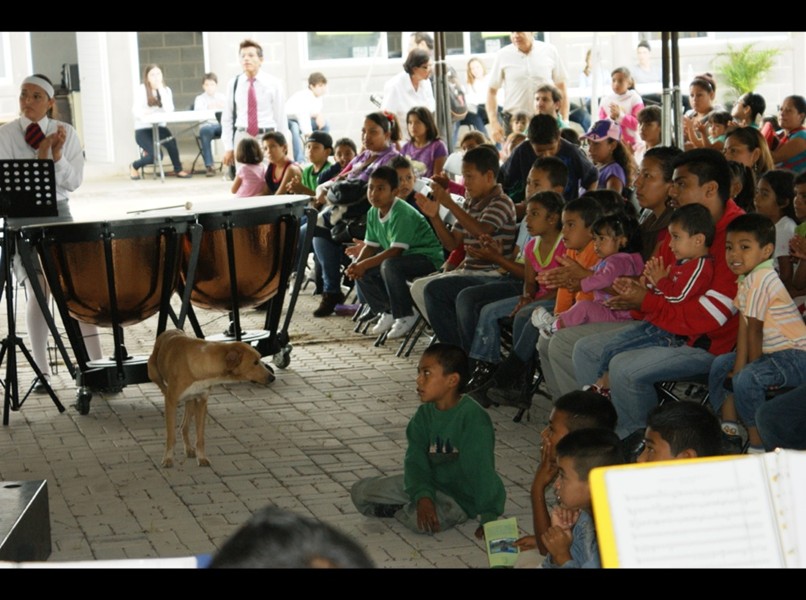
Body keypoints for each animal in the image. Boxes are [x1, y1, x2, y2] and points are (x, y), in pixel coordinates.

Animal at [149, 330, 278, 466]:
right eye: (255, 362)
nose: (272, 377)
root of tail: (169, 331)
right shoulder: (171, 401)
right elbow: (170, 436)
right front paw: (168, 459)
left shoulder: (202, 402)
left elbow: (200, 437)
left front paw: (201, 458)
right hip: (152, 371)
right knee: (162, 388)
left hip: (191, 402)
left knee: (184, 427)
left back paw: (188, 448)